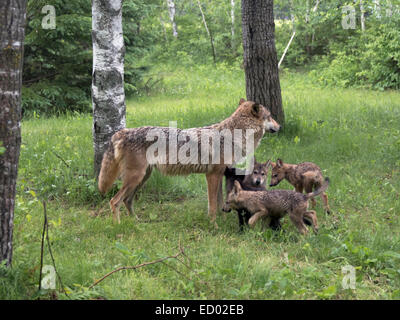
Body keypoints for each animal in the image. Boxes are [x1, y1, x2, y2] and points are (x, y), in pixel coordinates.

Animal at [98, 100, 280, 225]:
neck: (231, 136)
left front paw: (221, 220)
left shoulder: (219, 175)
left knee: (127, 201)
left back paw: (137, 222)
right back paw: (118, 226)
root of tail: (123, 132)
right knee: (114, 201)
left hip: (141, 179)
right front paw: (213, 225)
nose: (280, 126)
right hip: (135, 178)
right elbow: (212, 206)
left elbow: (220, 202)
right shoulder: (211, 175)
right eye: (270, 116)